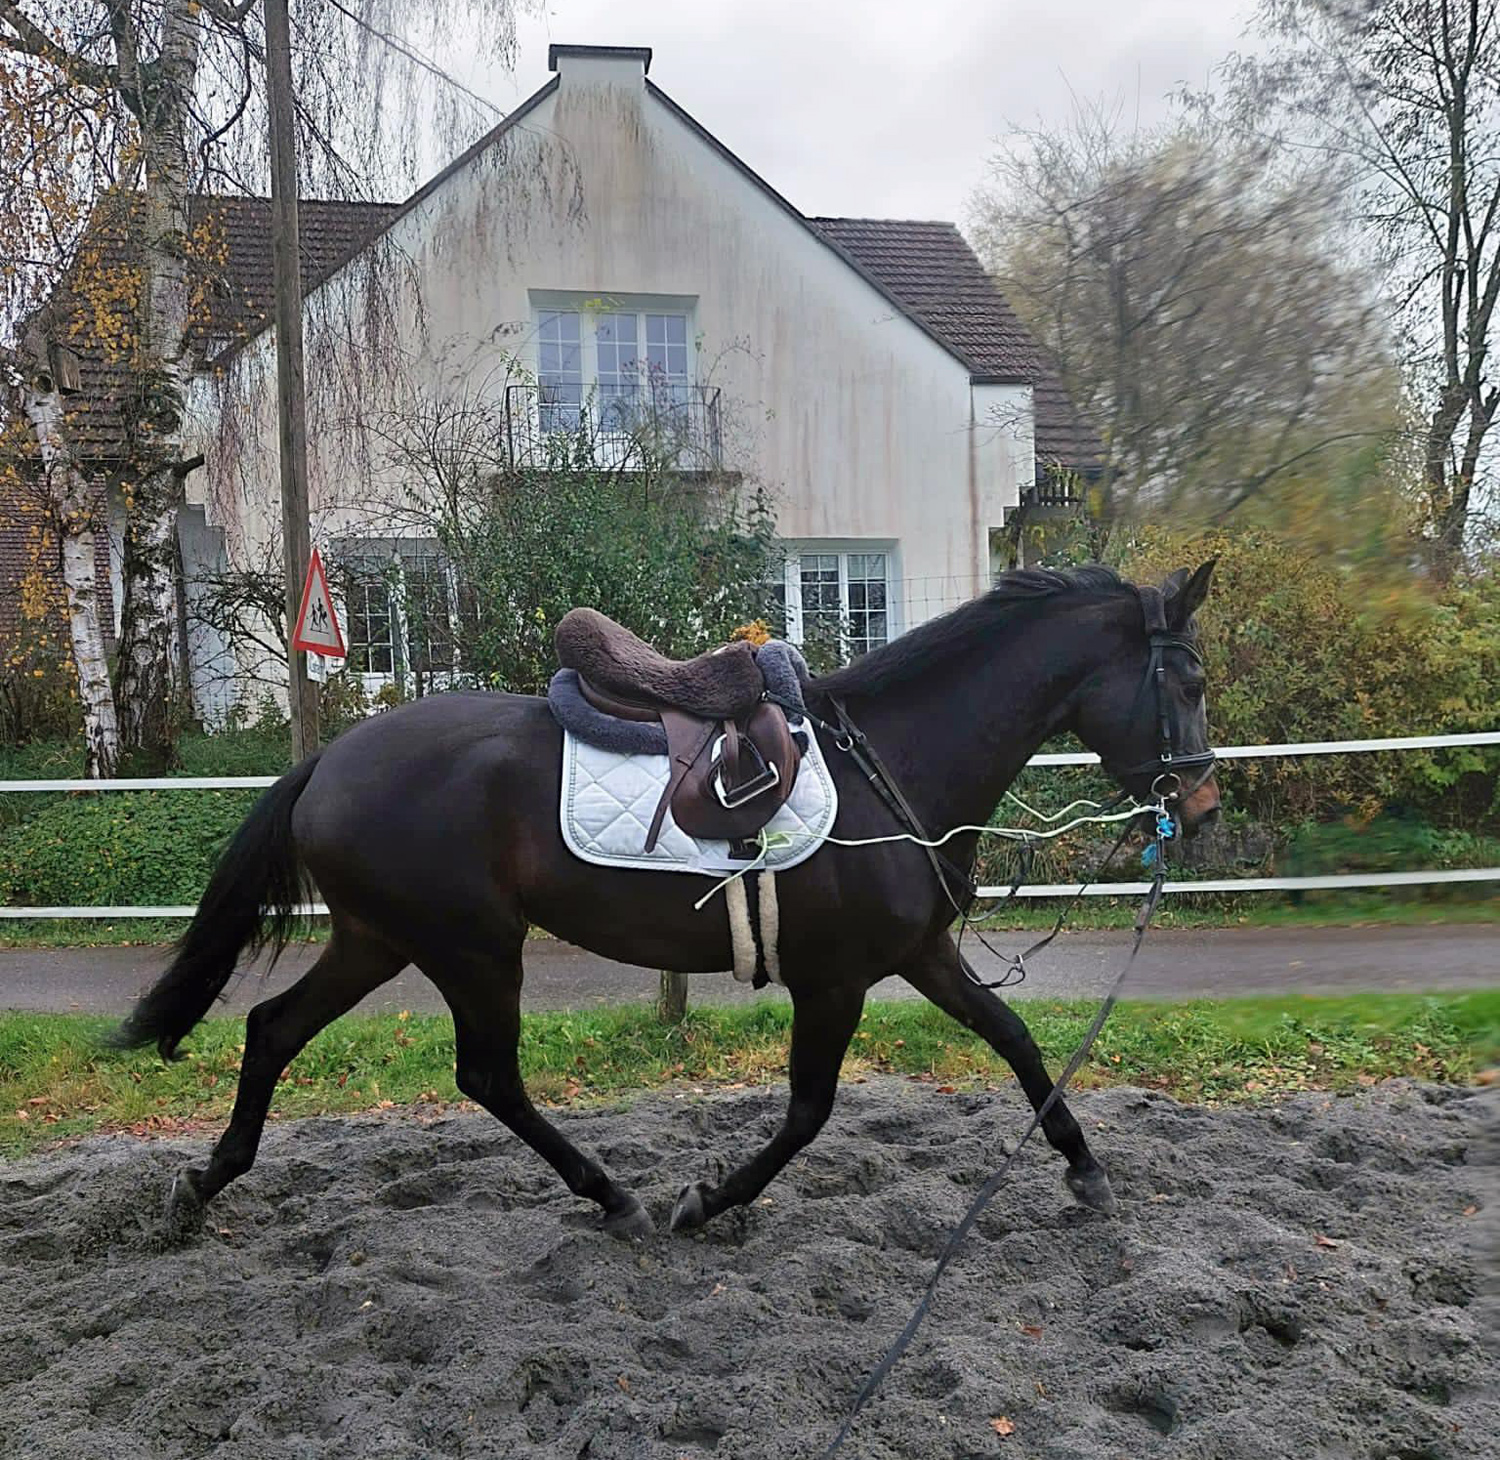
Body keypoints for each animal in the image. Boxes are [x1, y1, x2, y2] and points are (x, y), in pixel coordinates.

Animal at [117, 558, 1218, 1242]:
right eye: (1190, 684)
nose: (1202, 808)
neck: (891, 761)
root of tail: (330, 761)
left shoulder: (920, 956)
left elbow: (1019, 1041)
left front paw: (1084, 1166)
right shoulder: (835, 982)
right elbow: (808, 1111)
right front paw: (709, 1200)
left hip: (379, 939)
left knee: (271, 1028)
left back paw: (204, 1182)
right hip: (471, 947)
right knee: (488, 1076)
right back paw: (614, 1197)